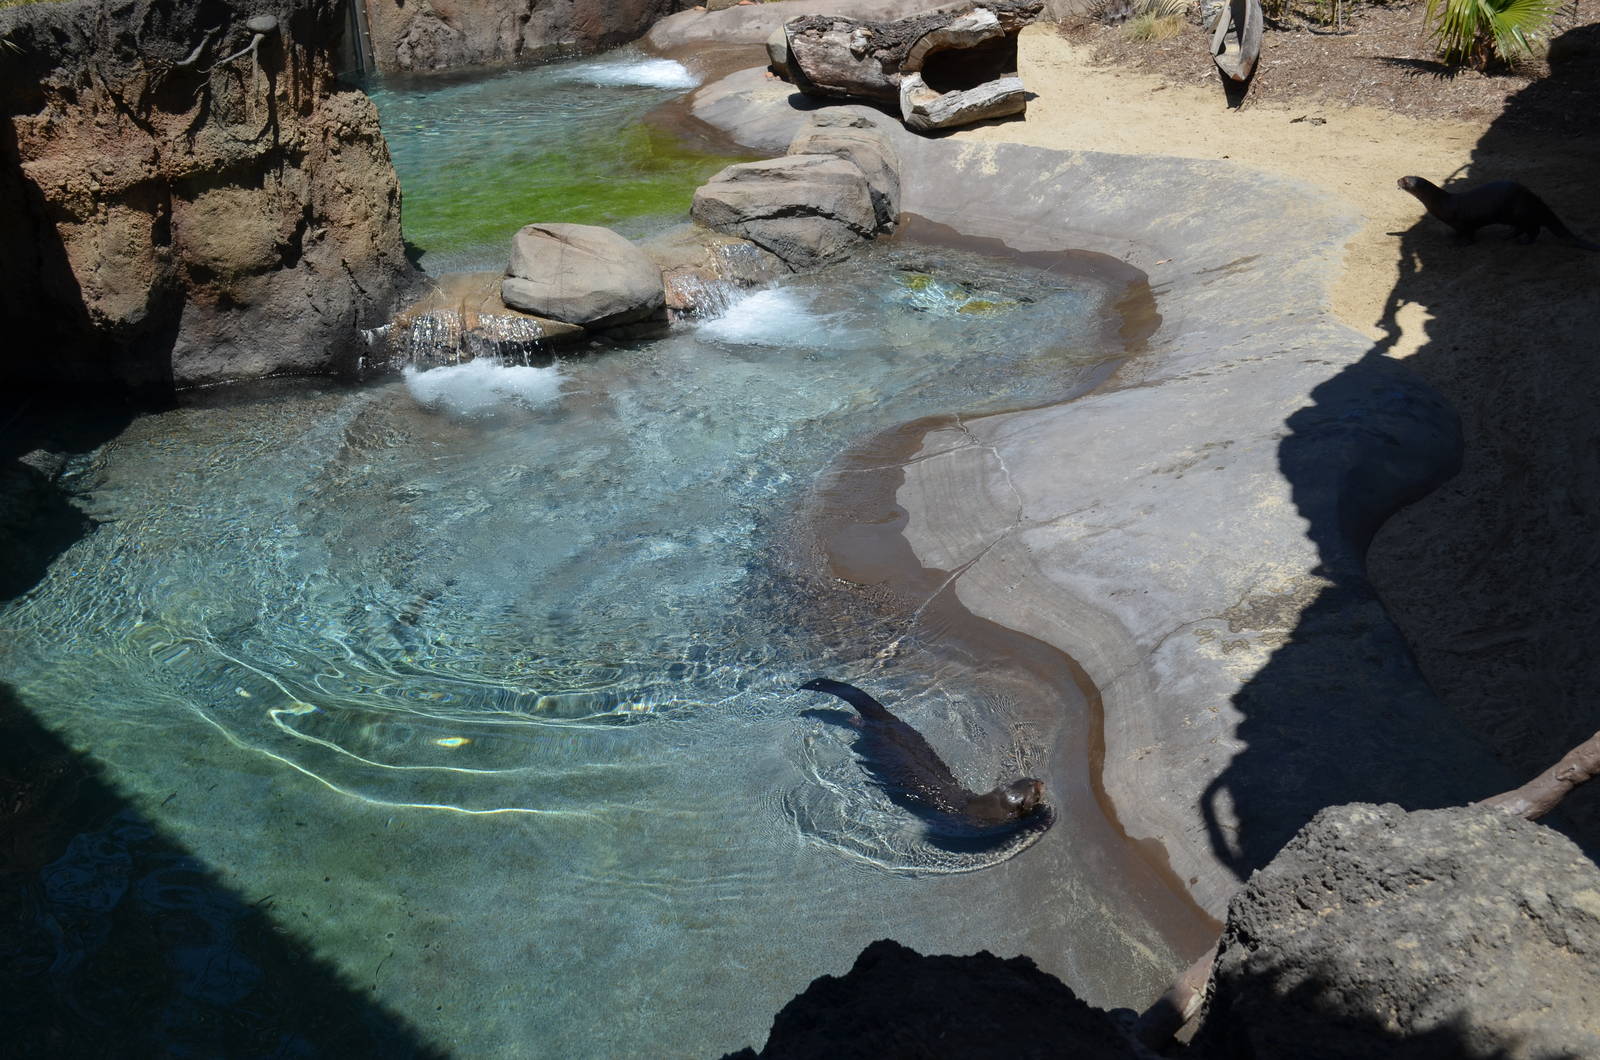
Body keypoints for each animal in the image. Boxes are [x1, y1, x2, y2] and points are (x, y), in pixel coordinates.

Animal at [1397, 176, 1600, 250]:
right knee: (1524, 228)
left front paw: (1462, 244)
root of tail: (1535, 200)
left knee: (1534, 229)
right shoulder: (1457, 225)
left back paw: (1523, 241)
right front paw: (1454, 238)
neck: (1444, 203)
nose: (1397, 180)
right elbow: (1458, 233)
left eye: (1405, 181)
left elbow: (1469, 235)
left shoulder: (1464, 223)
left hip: (1520, 213)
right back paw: (1508, 235)